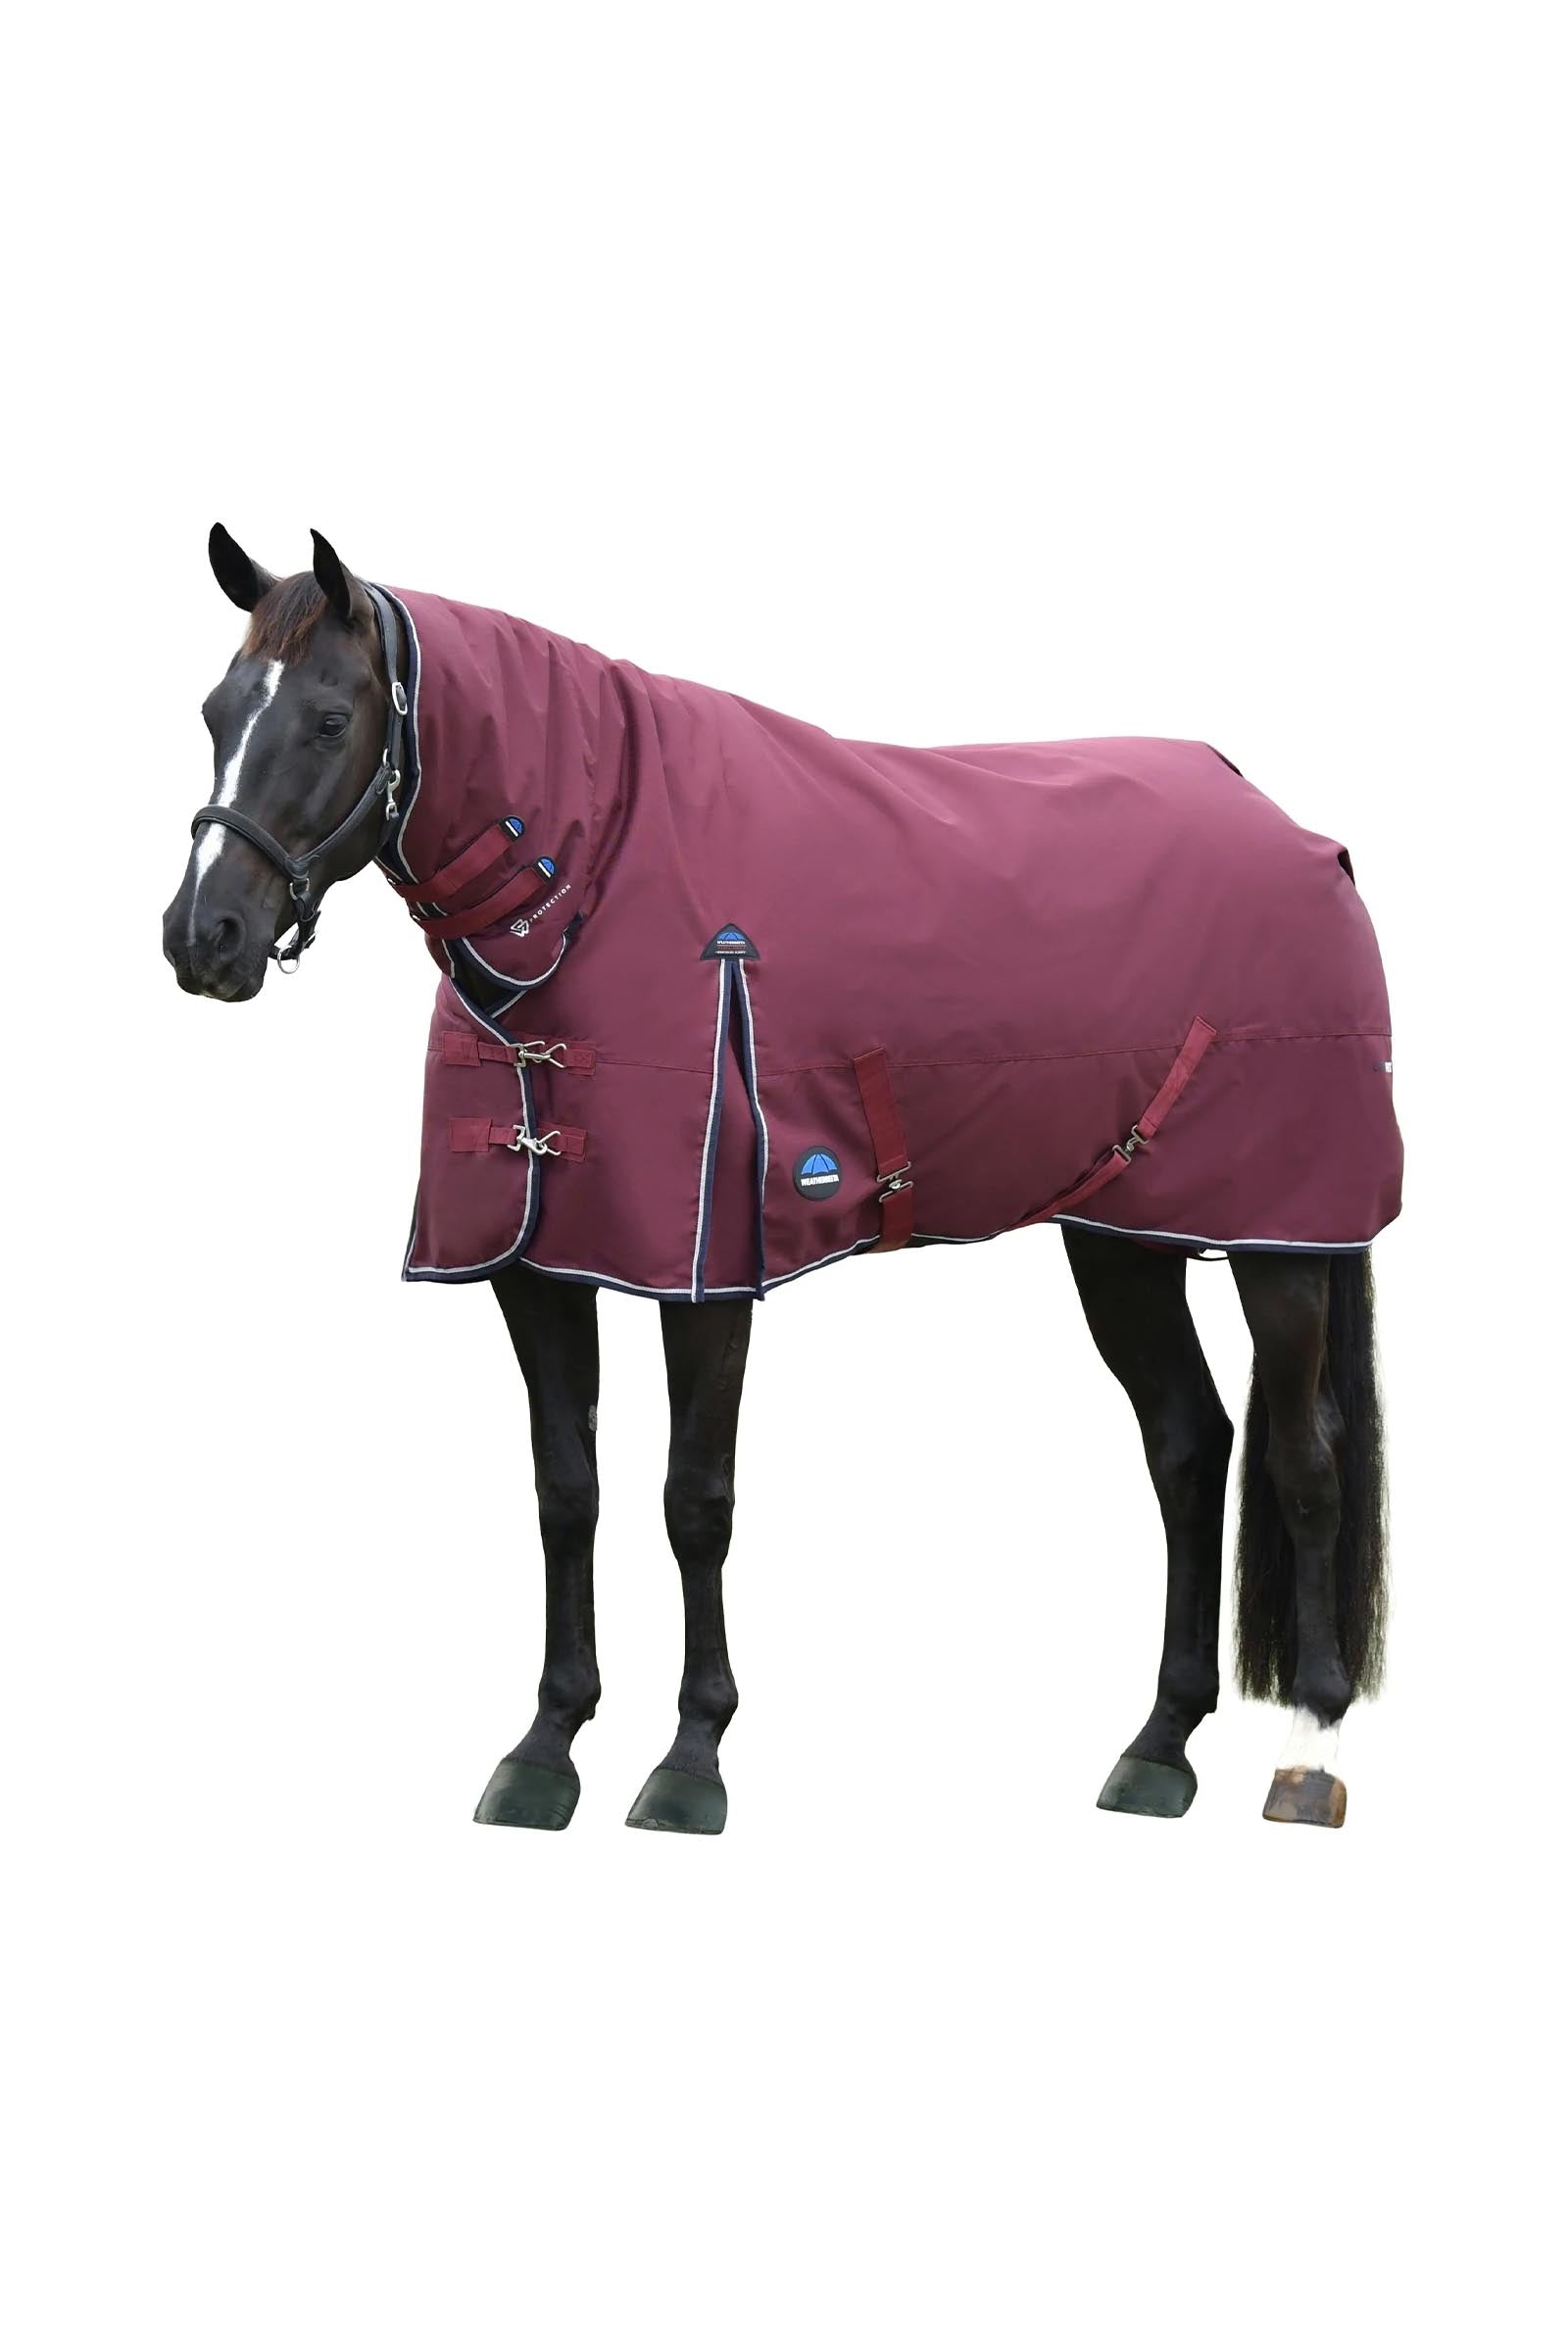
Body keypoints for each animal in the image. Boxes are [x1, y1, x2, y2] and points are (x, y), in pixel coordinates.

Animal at [163, 524, 1397, 1834]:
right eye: (215, 710)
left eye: (330, 718)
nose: (203, 938)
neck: (596, 878)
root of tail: (1294, 832)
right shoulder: (536, 1267)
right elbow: (567, 1493)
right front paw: (546, 1747)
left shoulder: (705, 1275)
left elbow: (693, 1501)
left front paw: (688, 1759)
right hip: (1121, 1234)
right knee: (1187, 1444)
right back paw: (1158, 1746)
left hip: (1279, 1242)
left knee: (1303, 1462)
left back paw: (1310, 1751)